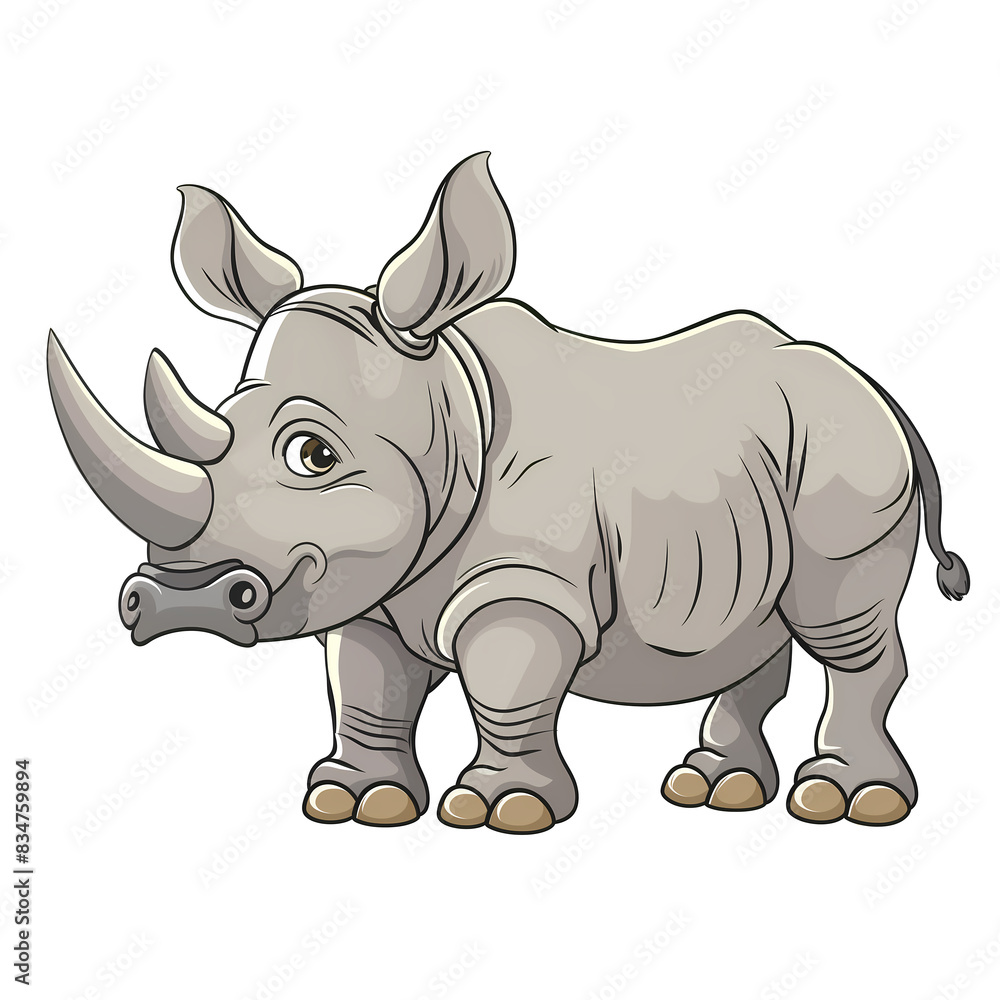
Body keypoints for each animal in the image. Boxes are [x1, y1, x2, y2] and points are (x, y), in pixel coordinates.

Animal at [48, 152, 970, 834]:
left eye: (314, 453)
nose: (179, 601)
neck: (452, 409)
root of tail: (876, 388)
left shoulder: (526, 587)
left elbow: (507, 686)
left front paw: (502, 811)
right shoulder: (367, 586)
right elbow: (366, 687)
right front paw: (355, 803)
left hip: (847, 459)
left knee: (840, 627)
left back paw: (847, 802)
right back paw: (715, 791)